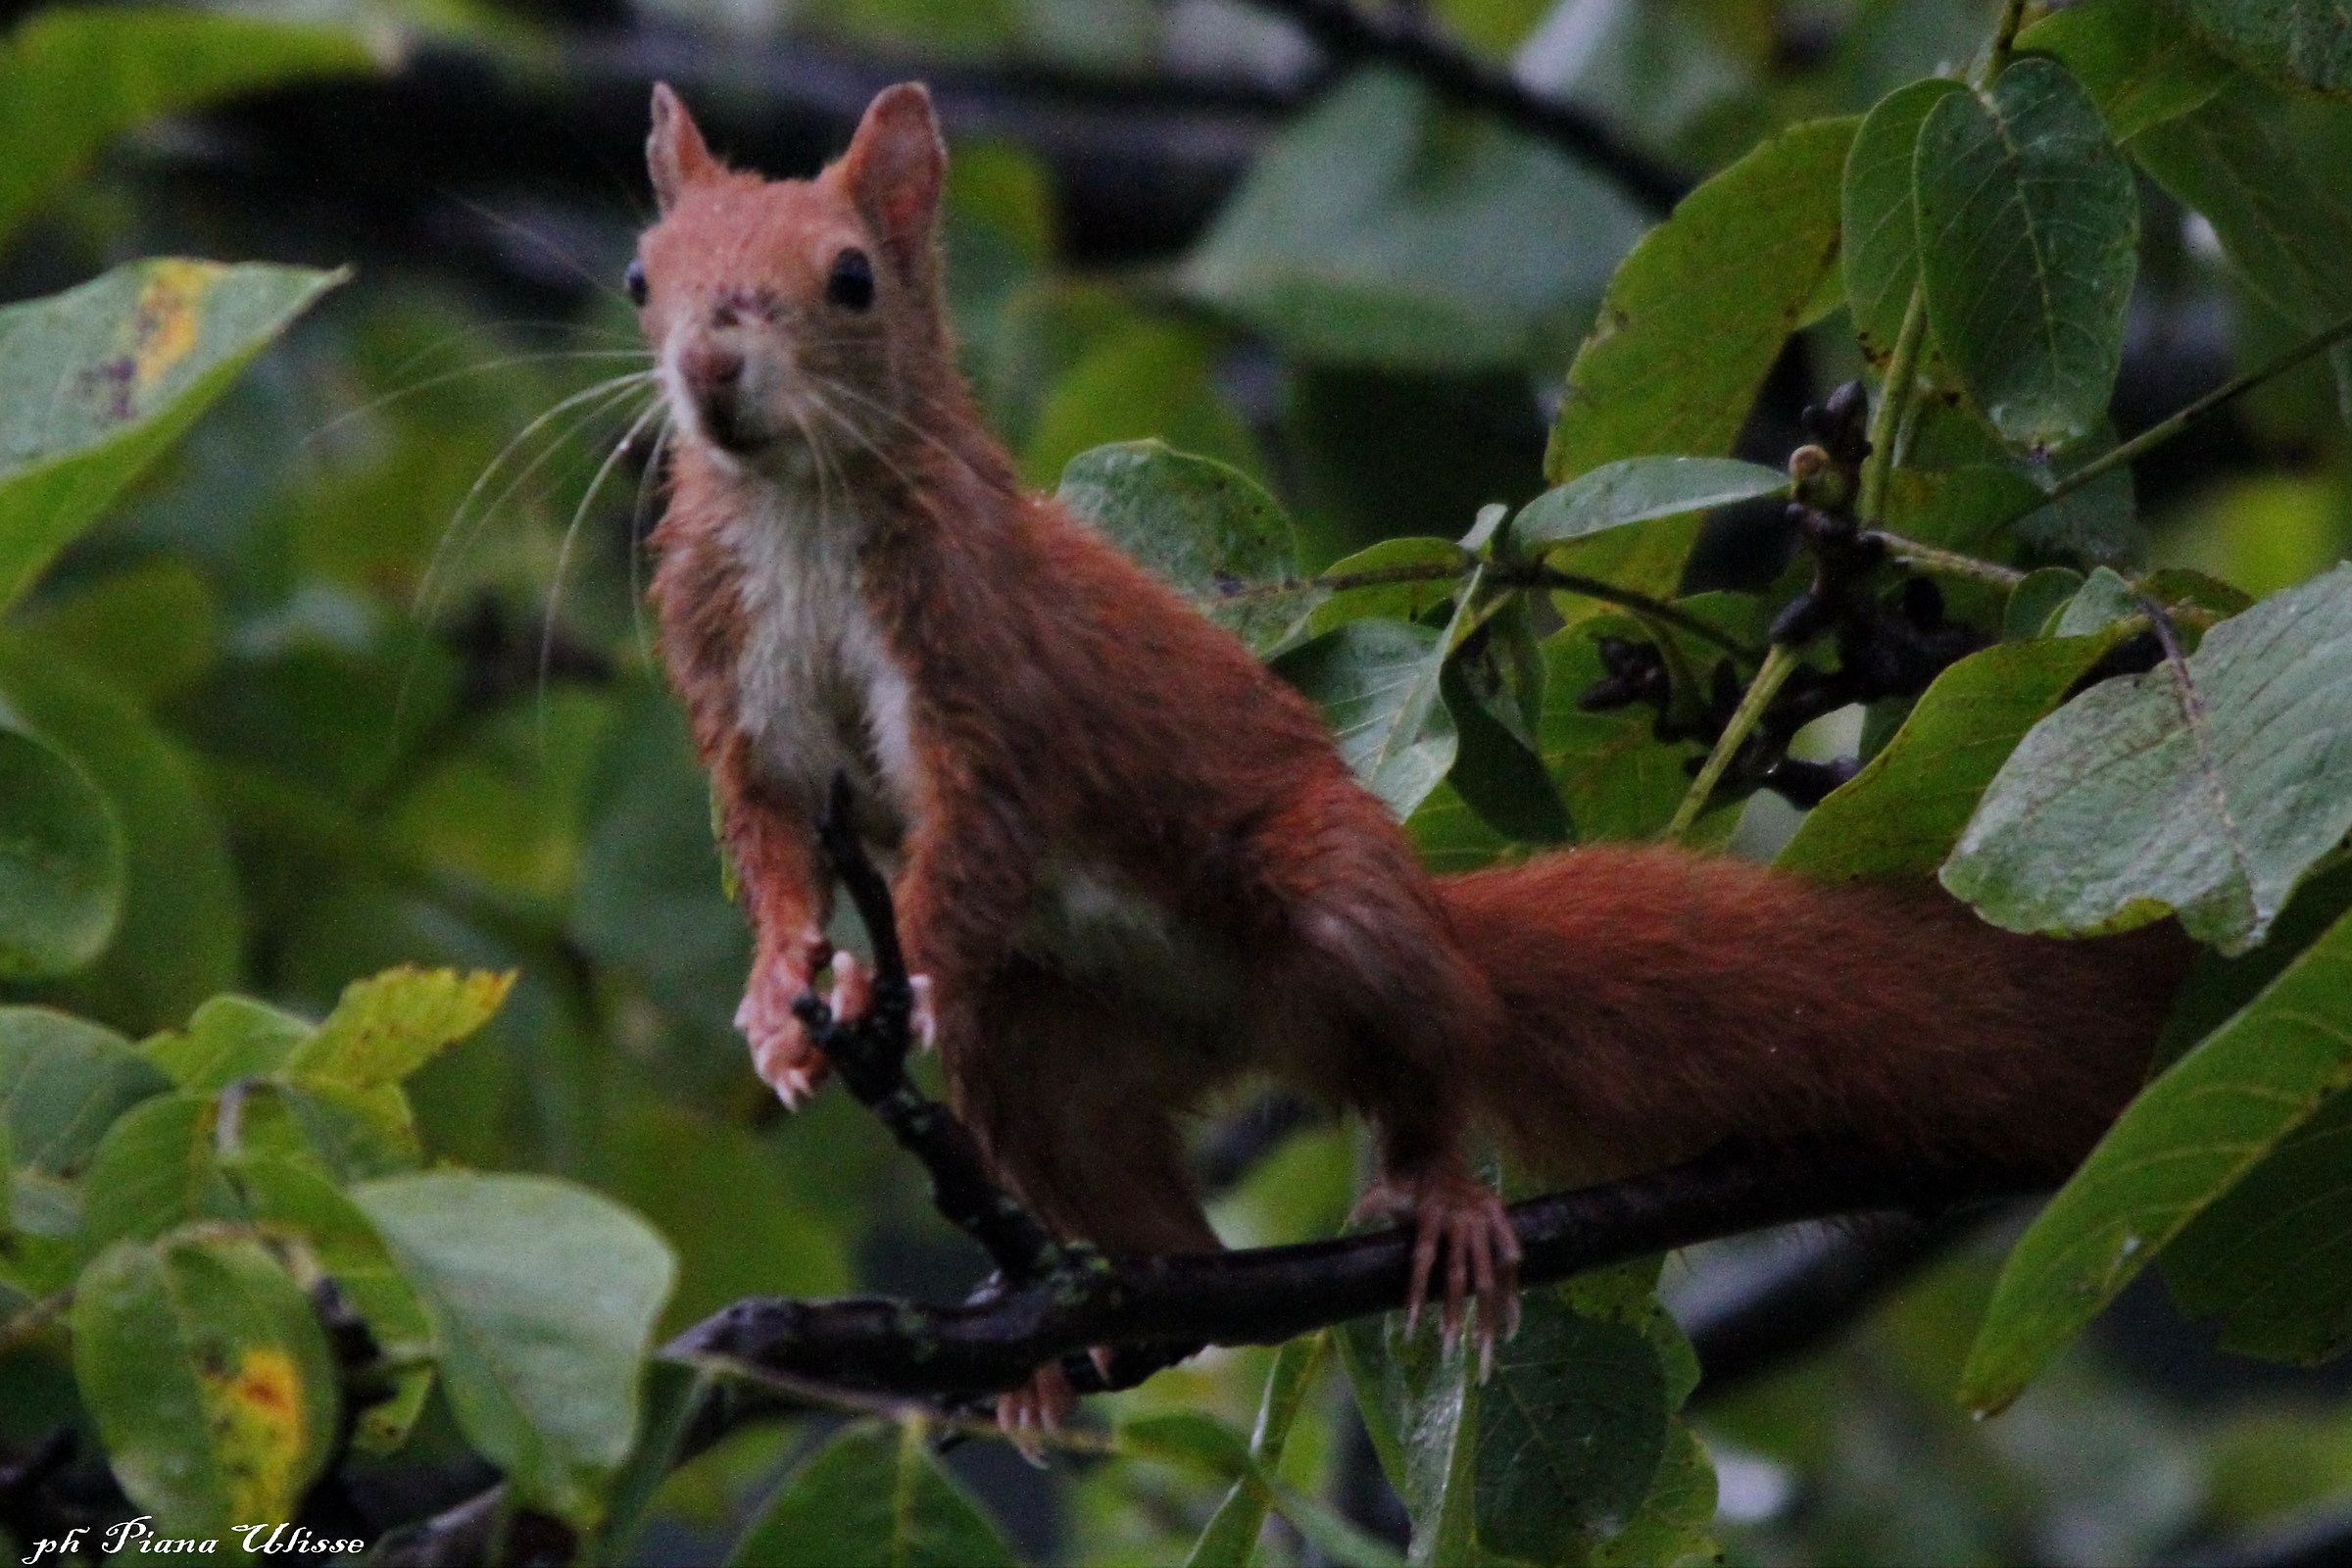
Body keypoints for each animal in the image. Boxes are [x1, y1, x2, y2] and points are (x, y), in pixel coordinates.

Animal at [631, 81, 2191, 1421]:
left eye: (851, 278)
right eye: (646, 278)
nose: (707, 362)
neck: (796, 516)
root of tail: (1243, 1029)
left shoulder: (985, 664)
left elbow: (974, 838)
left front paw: (894, 976)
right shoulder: (728, 672)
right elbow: (771, 836)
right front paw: (784, 999)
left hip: (1337, 906)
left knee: (1431, 1055)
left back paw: (1438, 1193)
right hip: (1052, 1048)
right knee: (1144, 1206)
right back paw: (1081, 1323)